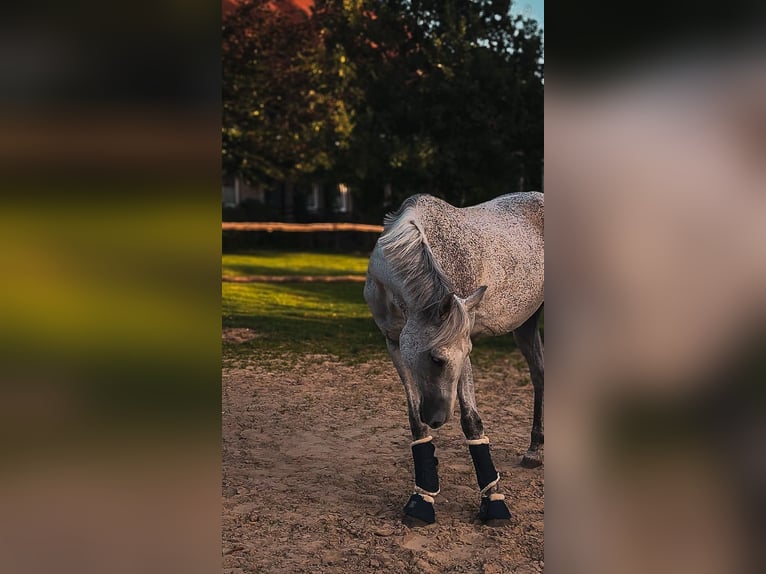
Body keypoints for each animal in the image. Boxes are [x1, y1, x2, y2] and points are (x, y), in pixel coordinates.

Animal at [366, 194, 544, 528]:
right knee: (540, 374)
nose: (438, 418)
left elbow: (471, 421)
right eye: (435, 358)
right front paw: (422, 498)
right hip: (526, 325)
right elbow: (415, 420)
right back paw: (535, 450)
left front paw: (494, 501)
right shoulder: (394, 344)